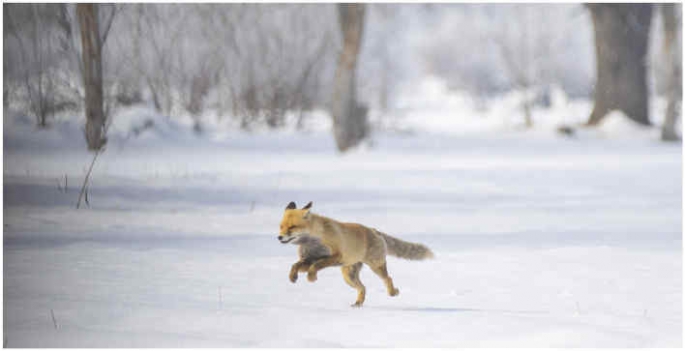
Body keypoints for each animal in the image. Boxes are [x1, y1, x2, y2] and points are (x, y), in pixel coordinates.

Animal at [278, 202, 432, 306]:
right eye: (281, 226)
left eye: (292, 227)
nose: (279, 237)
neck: (314, 240)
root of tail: (374, 230)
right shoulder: (308, 259)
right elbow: (296, 265)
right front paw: (293, 277)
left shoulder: (335, 256)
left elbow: (316, 265)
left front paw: (311, 277)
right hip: (349, 276)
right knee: (363, 288)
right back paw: (358, 303)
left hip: (375, 266)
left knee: (388, 278)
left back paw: (392, 292)